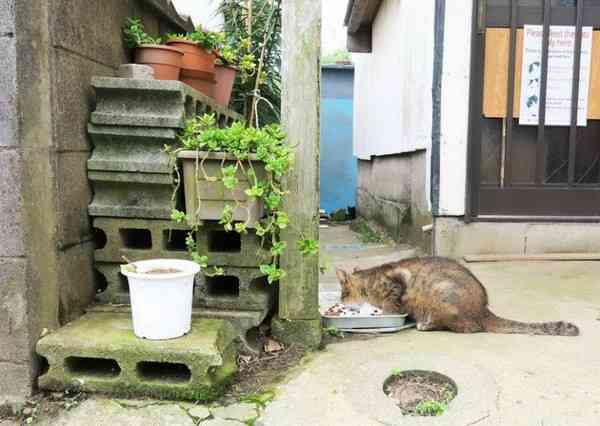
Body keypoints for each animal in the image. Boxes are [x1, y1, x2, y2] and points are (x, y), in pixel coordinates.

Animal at [336, 256, 580, 336]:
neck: (370, 283)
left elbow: (394, 305)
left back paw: (425, 325)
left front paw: (386, 311)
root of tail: (483, 310)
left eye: (343, 292)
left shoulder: (399, 283)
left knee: (467, 327)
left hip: (441, 292)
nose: (339, 301)